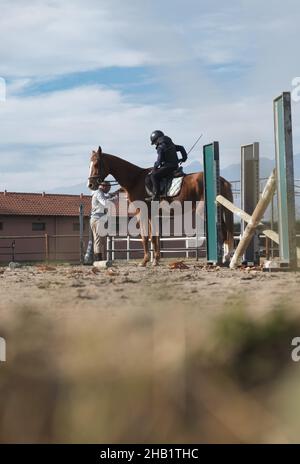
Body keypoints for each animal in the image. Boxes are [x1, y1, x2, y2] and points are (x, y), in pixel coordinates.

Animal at [87, 147, 234, 266]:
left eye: (96, 164)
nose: (91, 185)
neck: (135, 180)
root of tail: (222, 180)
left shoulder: (143, 213)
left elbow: (145, 236)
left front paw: (145, 261)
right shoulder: (152, 215)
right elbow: (155, 237)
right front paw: (156, 260)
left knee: (224, 231)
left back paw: (225, 258)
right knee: (225, 230)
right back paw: (227, 257)